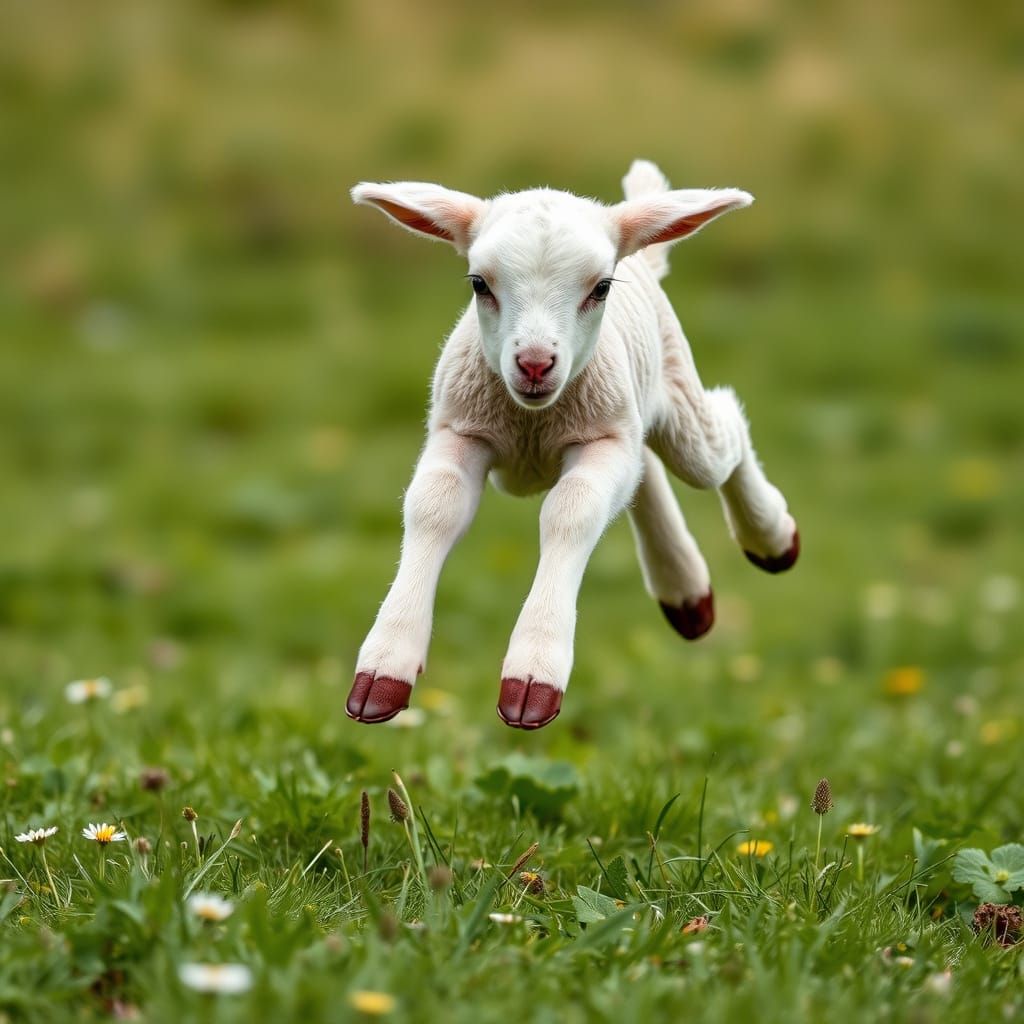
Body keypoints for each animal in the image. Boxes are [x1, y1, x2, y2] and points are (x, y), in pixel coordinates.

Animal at [347, 159, 798, 730]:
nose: (535, 363)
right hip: (621, 409)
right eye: (478, 283)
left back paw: (773, 539)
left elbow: (572, 509)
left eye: (600, 288)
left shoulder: (594, 440)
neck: (532, 424)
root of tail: (638, 249)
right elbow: (434, 505)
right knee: (643, 465)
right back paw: (687, 594)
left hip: (664, 402)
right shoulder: (462, 429)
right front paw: (383, 670)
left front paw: (532, 676)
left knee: (719, 435)